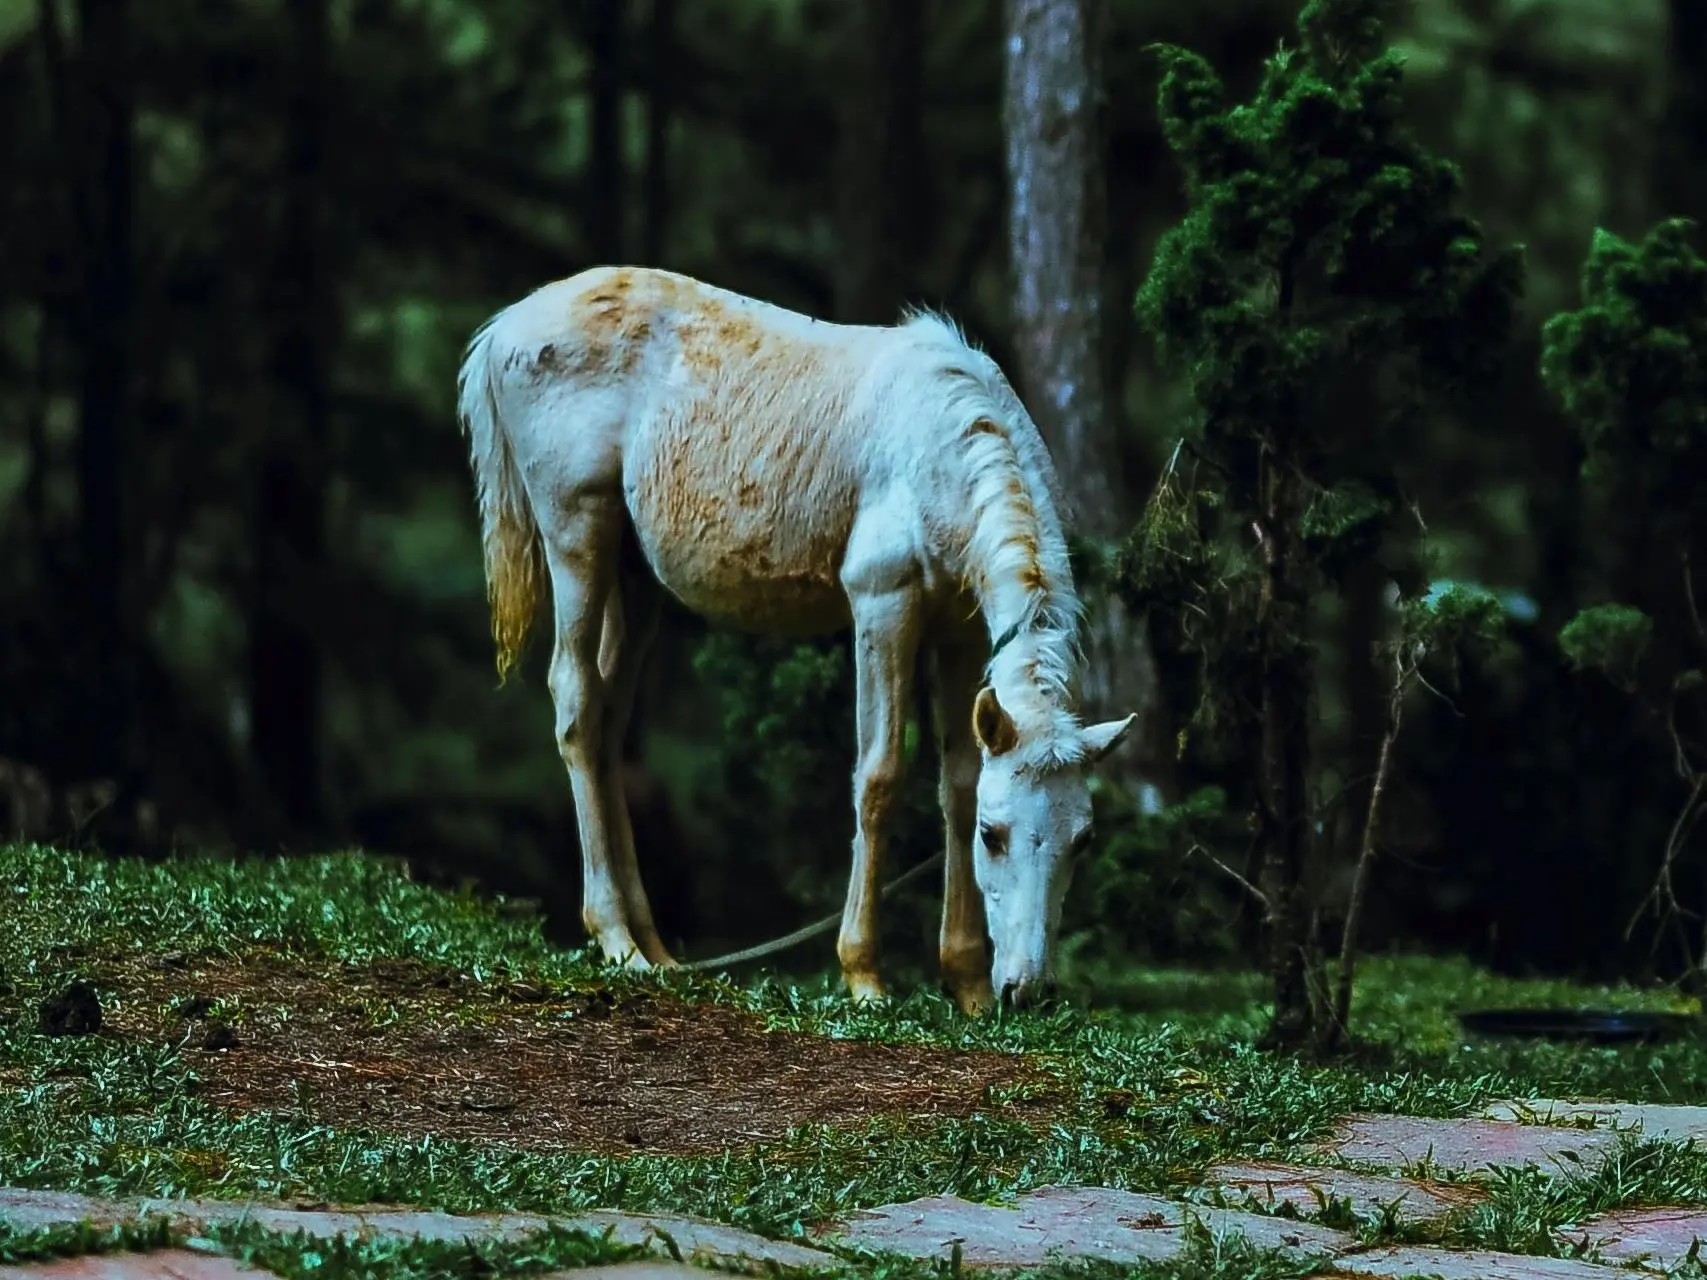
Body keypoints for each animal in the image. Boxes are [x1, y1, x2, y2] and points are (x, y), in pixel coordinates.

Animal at [460, 267, 1140, 1010]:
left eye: (1083, 839)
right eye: (996, 836)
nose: (1027, 991)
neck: (943, 451)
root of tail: (504, 328)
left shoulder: (960, 631)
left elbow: (956, 782)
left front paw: (965, 986)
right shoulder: (883, 601)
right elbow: (879, 775)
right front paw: (863, 974)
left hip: (636, 578)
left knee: (609, 723)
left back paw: (656, 949)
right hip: (577, 529)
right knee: (575, 700)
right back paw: (615, 938)